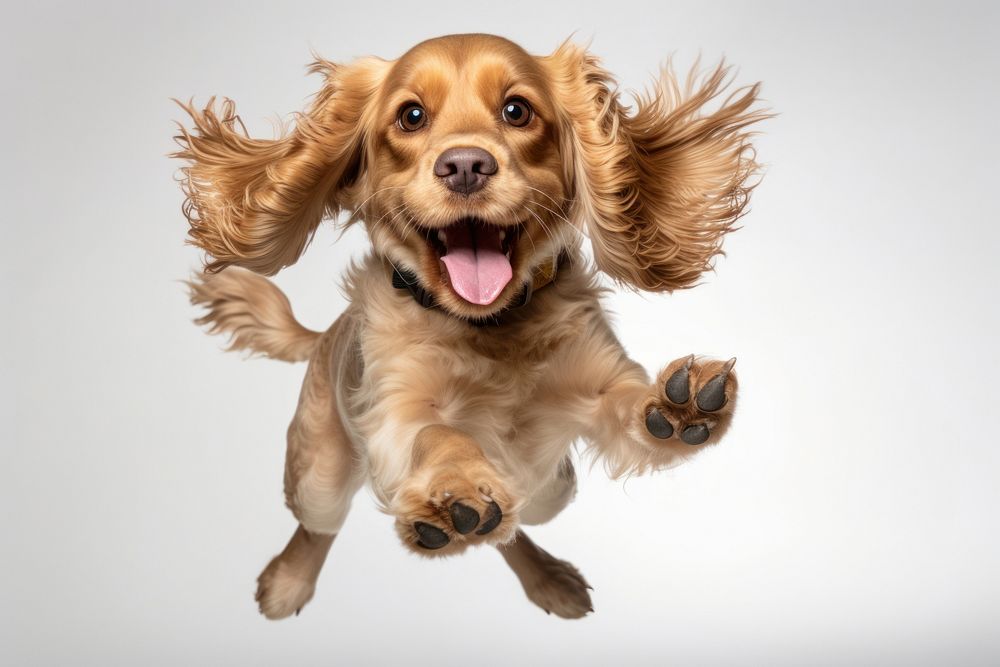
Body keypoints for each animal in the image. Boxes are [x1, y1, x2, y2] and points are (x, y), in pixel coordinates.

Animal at [174, 32, 764, 620]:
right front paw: (454, 488)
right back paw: (291, 579)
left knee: (515, 525)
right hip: (318, 471)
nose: (465, 165)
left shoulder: (597, 386)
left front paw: (677, 405)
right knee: (316, 527)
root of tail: (329, 333)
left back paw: (546, 576)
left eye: (517, 110)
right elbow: (440, 436)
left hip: (552, 489)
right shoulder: (398, 412)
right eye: (411, 115)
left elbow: (627, 405)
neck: (489, 326)